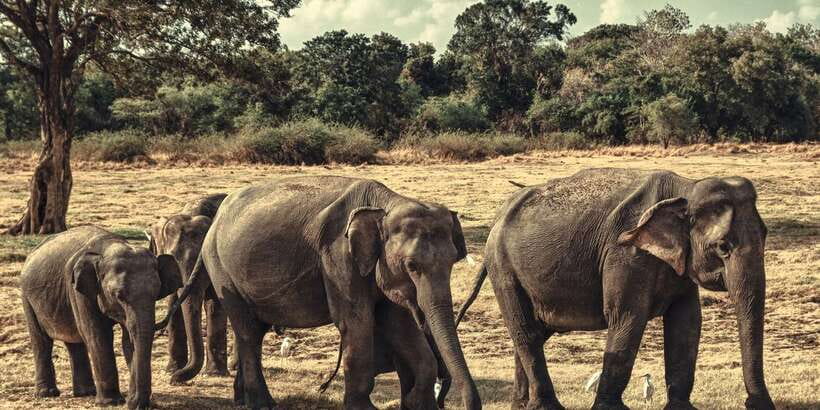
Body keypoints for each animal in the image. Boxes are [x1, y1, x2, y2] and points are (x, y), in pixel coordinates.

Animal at [20, 226, 182, 409]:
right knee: (41, 340)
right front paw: (112, 402)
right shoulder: (77, 290)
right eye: (119, 296)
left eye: (156, 293)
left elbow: (128, 339)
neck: (109, 246)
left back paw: (86, 392)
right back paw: (47, 393)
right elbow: (98, 335)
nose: (133, 403)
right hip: (27, 297)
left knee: (74, 341)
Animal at [146, 193, 231, 382]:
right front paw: (171, 370)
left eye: (203, 260)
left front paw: (214, 373)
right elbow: (174, 304)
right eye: (170, 259)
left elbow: (214, 305)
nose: (174, 380)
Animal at [162, 176, 481, 410]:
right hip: (221, 269)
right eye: (412, 265)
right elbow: (356, 323)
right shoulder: (337, 257)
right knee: (247, 331)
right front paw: (363, 408)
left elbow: (399, 325)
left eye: (454, 260)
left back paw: (243, 399)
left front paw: (416, 402)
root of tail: (216, 219)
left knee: (254, 330)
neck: (386, 203)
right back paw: (262, 403)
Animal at [455, 168, 774, 410]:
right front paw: (611, 409)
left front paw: (682, 409)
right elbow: (627, 317)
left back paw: (523, 406)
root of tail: (498, 216)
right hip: (504, 268)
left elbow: (686, 322)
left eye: (765, 234)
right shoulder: (625, 254)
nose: (753, 404)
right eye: (722, 247)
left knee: (533, 333)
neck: (686, 187)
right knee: (526, 331)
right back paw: (546, 407)